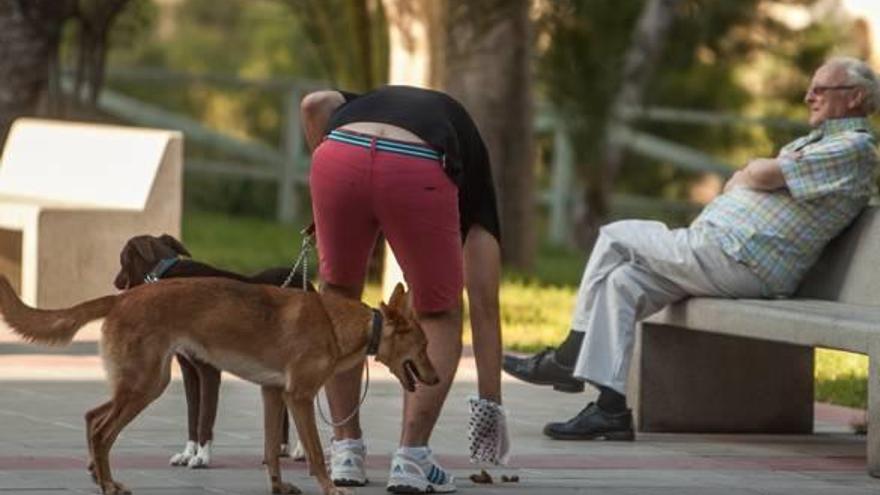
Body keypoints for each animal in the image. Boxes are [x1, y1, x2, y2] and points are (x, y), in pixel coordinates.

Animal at [0, 278, 440, 494]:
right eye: (424, 347)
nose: (436, 379)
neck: (342, 325)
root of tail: (121, 298)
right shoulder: (299, 397)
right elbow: (315, 454)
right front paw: (331, 489)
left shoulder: (273, 394)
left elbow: (271, 450)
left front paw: (279, 487)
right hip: (146, 385)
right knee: (102, 430)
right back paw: (107, 484)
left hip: (141, 383)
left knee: (93, 417)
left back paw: (98, 475)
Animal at [113, 236, 312, 468]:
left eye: (121, 259)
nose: (115, 281)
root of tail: (306, 280)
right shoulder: (188, 370)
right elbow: (192, 415)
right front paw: (188, 453)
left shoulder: (208, 370)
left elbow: (205, 417)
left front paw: (202, 457)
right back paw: (280, 448)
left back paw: (301, 450)